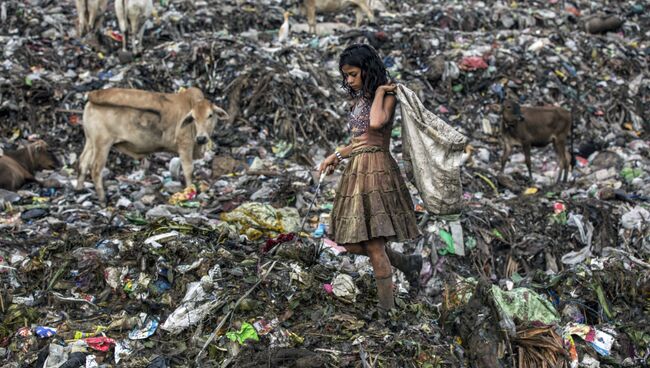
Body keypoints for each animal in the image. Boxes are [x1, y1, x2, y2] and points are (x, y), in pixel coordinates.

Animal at [77, 87, 228, 203]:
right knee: (95, 169)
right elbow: (188, 170)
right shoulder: (185, 145)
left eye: (210, 115)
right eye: (194, 118)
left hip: (90, 141)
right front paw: (190, 191)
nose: (201, 138)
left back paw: (79, 189)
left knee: (83, 162)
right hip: (102, 143)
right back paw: (102, 199)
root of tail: (93, 95)